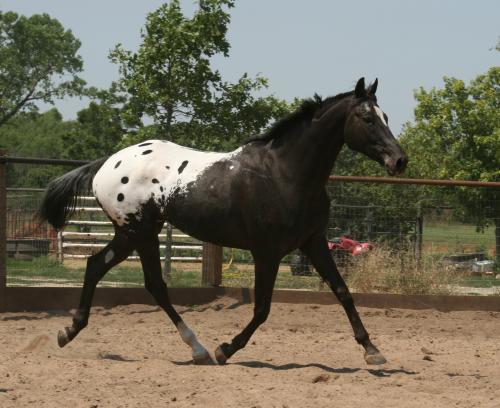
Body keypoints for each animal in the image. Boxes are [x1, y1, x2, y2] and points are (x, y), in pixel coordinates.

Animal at [39, 78, 406, 364]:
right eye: (367, 118)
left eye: (386, 116)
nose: (400, 160)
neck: (284, 173)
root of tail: (108, 162)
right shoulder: (267, 252)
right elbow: (262, 308)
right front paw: (226, 349)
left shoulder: (313, 241)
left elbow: (343, 291)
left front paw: (372, 350)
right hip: (139, 232)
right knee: (151, 283)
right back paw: (200, 349)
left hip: (132, 234)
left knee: (99, 267)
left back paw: (69, 331)